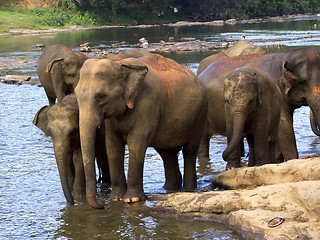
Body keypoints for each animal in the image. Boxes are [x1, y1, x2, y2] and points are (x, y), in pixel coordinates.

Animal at [75, 54, 208, 208]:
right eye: (75, 94)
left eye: (101, 96)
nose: (101, 206)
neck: (121, 64)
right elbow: (112, 145)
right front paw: (115, 199)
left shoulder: (148, 105)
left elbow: (137, 143)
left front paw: (131, 200)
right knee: (167, 154)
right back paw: (170, 188)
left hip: (199, 117)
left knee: (189, 152)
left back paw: (188, 189)